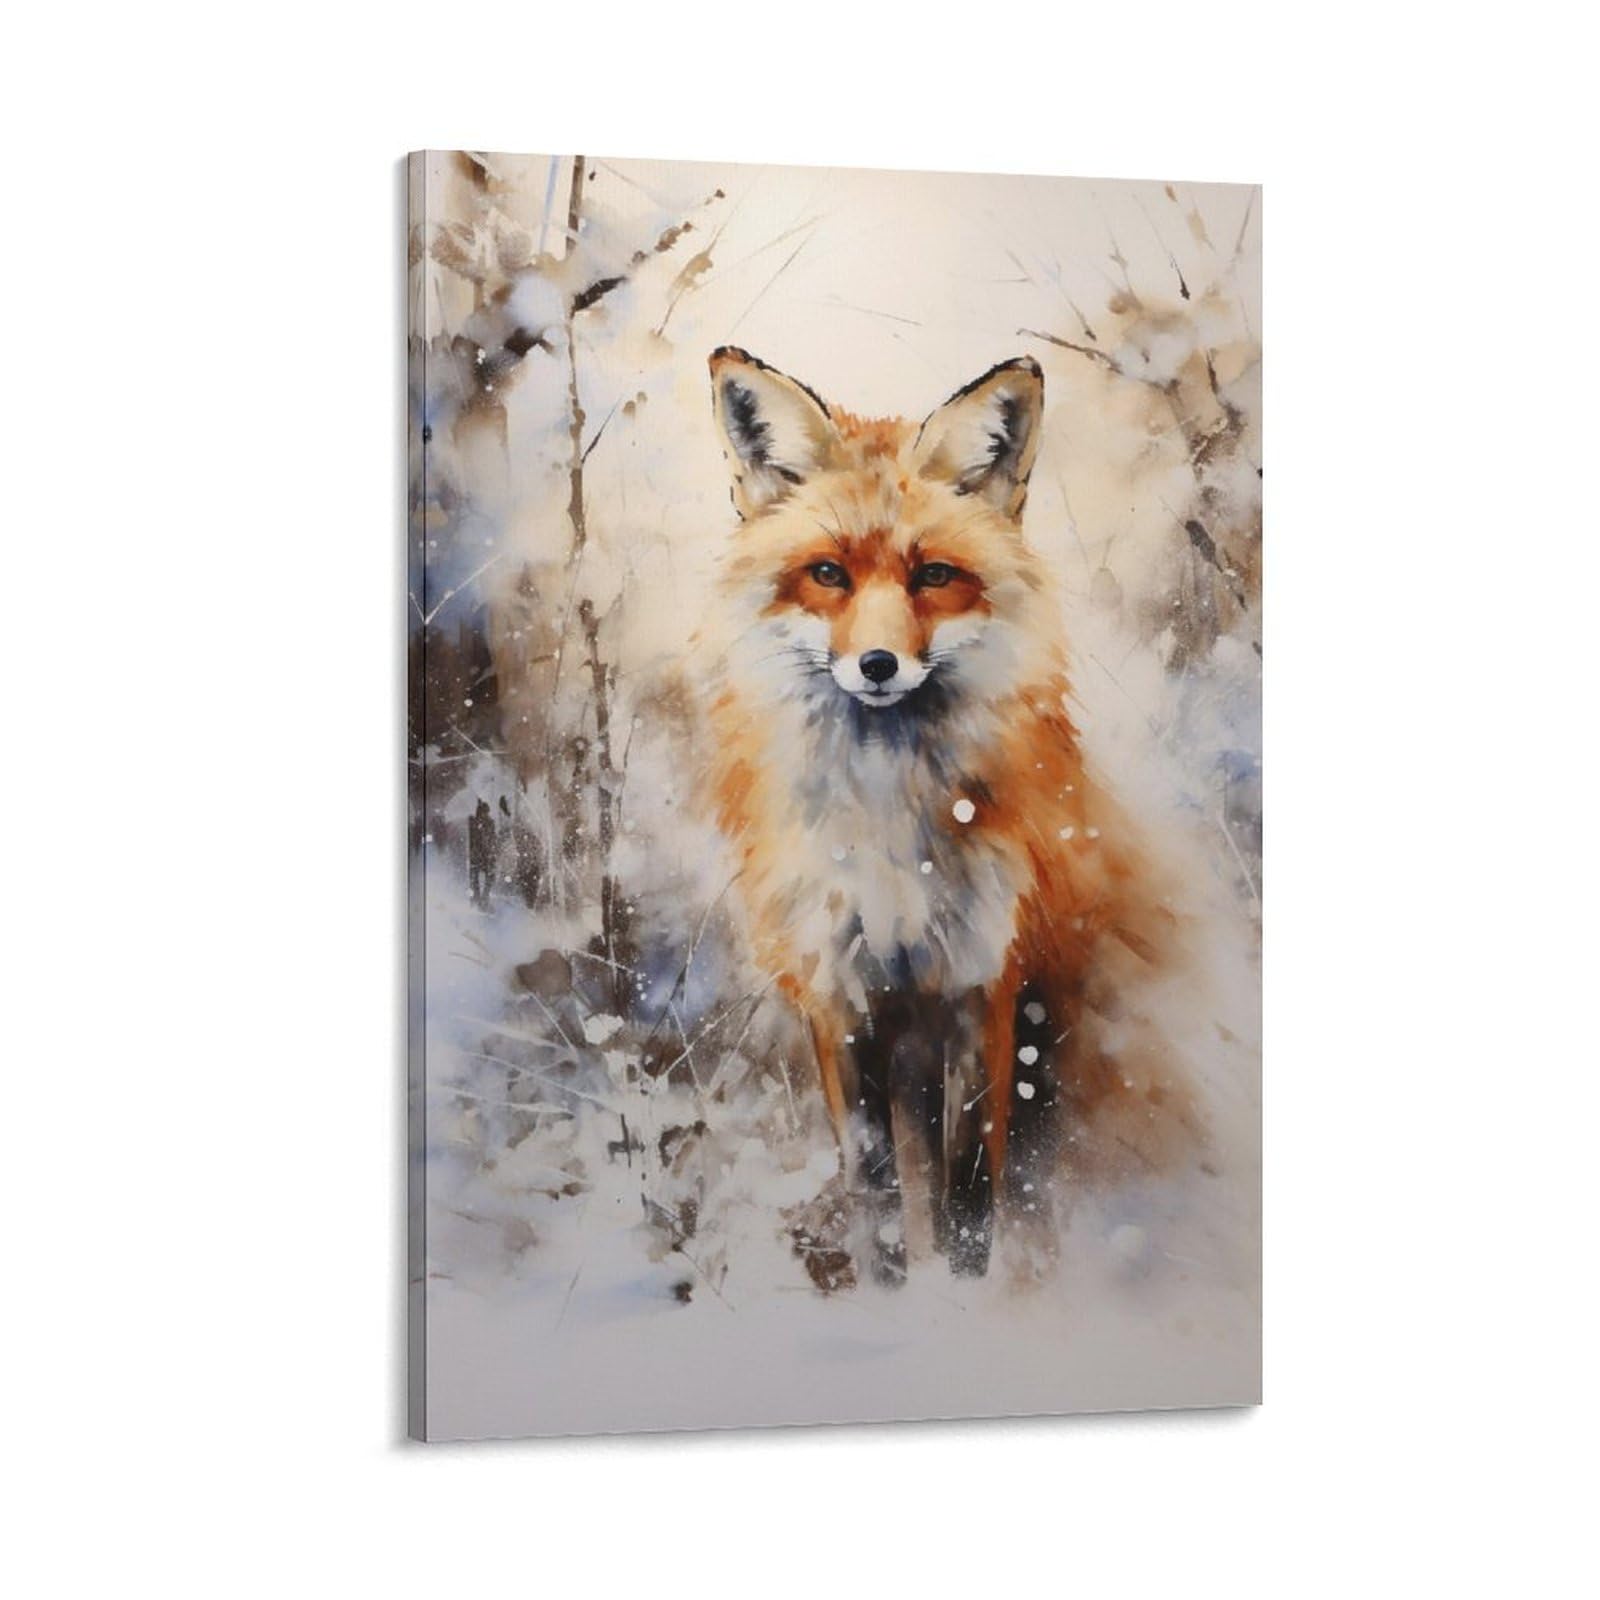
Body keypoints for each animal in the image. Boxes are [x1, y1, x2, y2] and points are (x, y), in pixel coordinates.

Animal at [696, 346, 1179, 1283]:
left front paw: (960, 1299)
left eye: (933, 577)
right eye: (829, 574)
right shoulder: (838, 995)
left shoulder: (981, 985)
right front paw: (892, 1296)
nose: (879, 665)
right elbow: (876, 1191)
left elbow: (969, 1195)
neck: (892, 836)